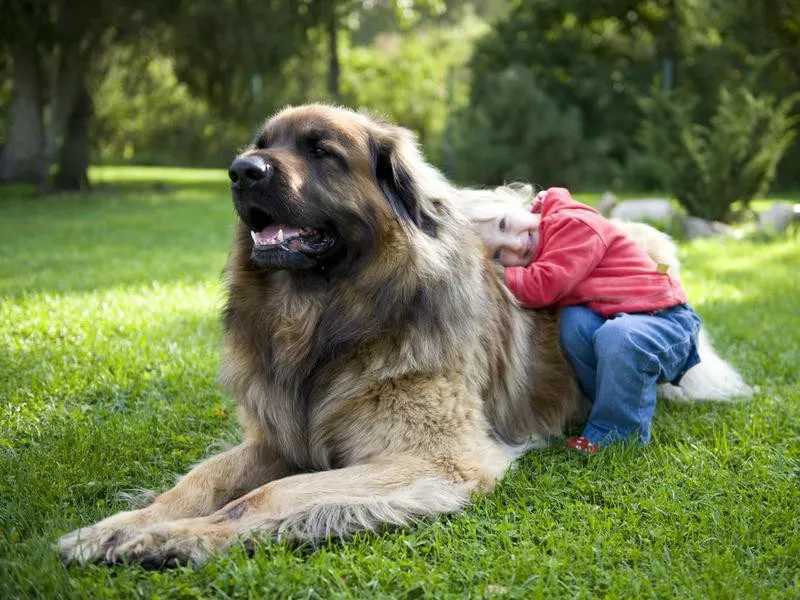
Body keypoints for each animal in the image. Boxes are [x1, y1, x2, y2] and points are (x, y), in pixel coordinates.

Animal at [57, 103, 752, 568]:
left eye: (321, 151)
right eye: (261, 144)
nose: (240, 171)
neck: (326, 321)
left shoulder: (430, 458)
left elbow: (270, 495)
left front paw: (176, 540)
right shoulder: (280, 434)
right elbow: (197, 483)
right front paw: (119, 527)